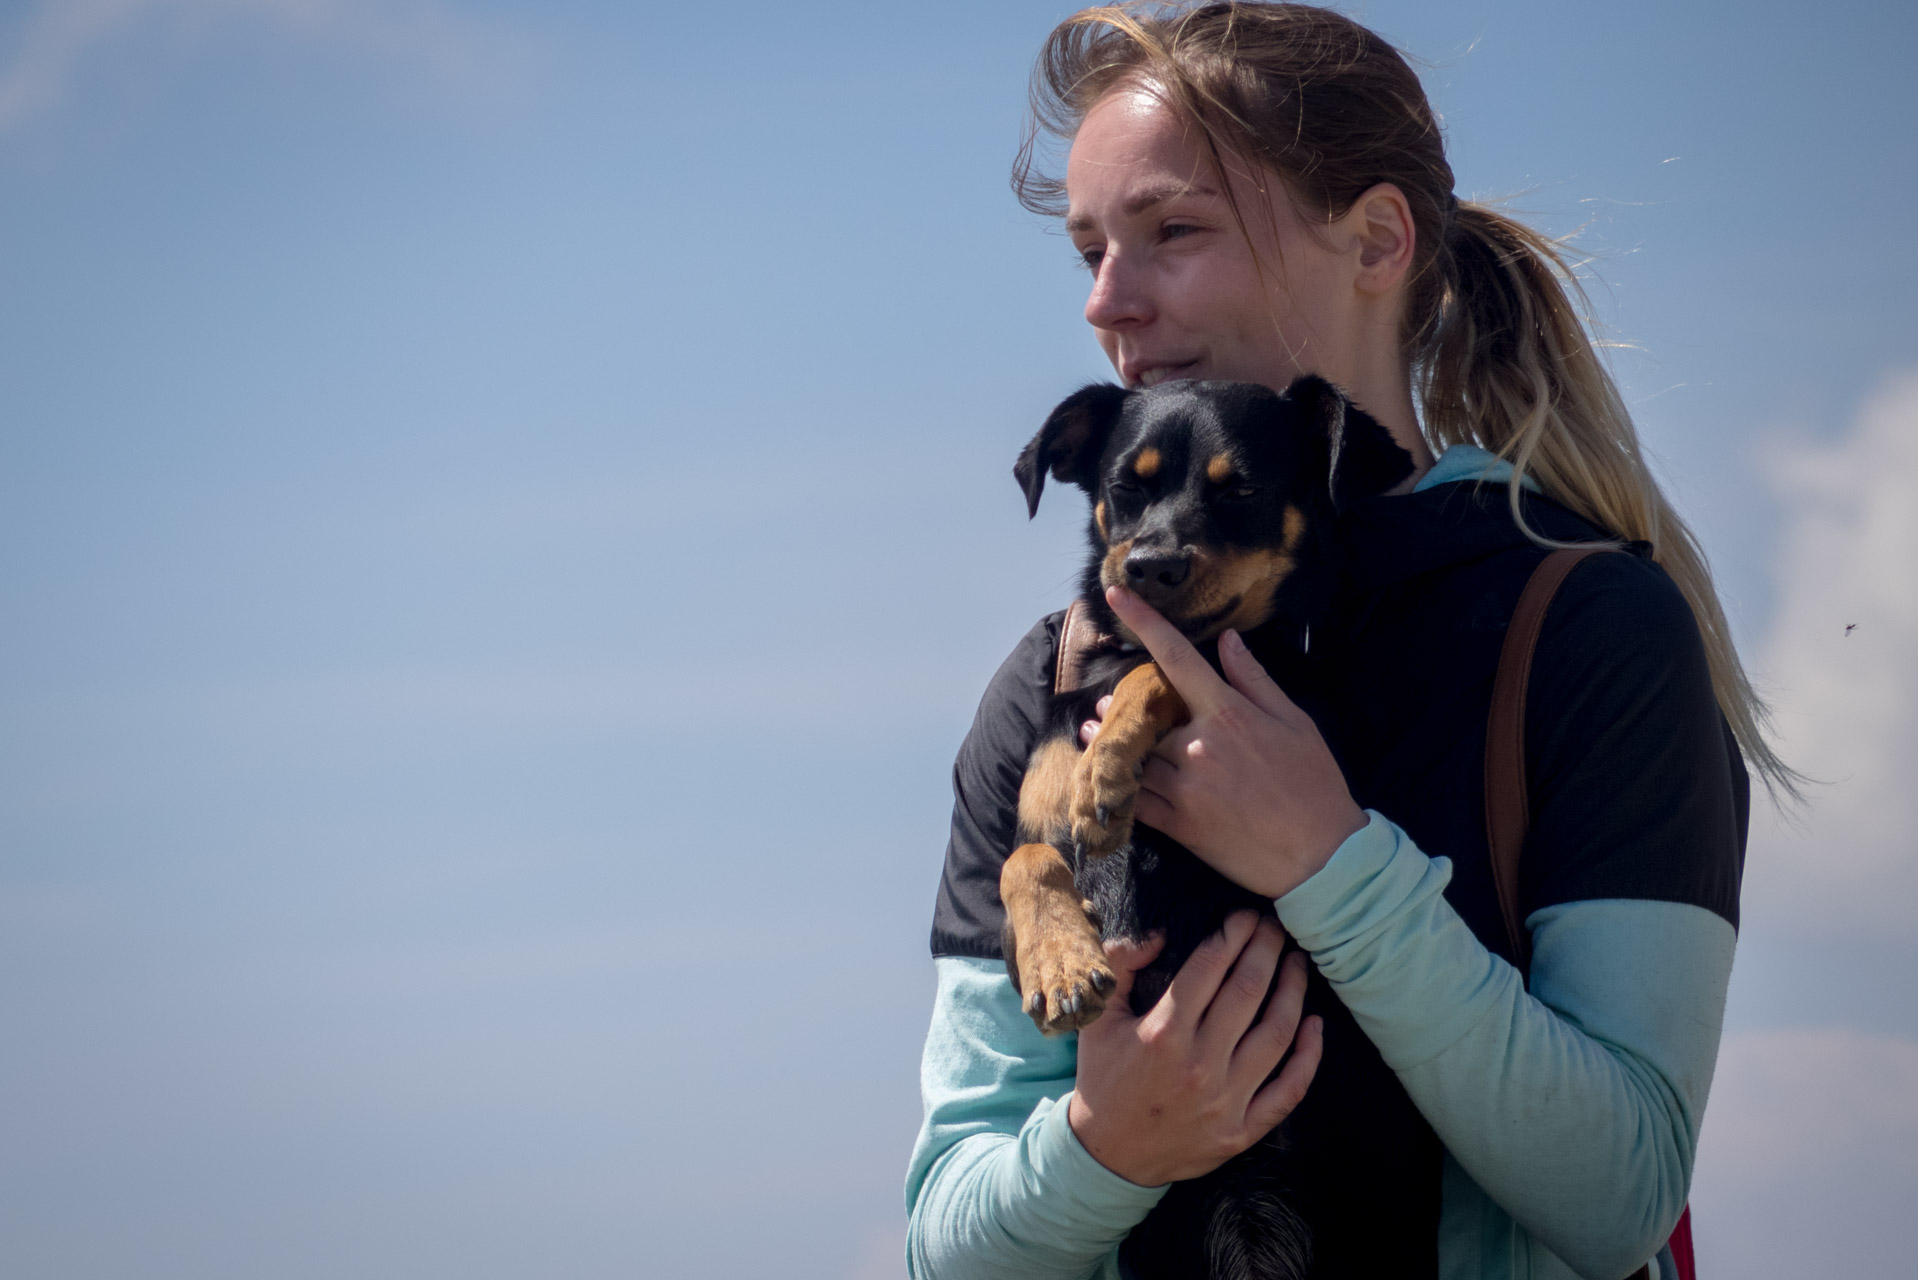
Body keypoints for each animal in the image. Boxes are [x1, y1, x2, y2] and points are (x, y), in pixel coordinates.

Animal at [997, 376, 1419, 1280]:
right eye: (1127, 485)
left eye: (1242, 492)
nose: (1148, 566)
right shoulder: (1033, 830)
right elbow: (1030, 859)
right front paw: (1060, 962)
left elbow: (1179, 664)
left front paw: (1111, 762)